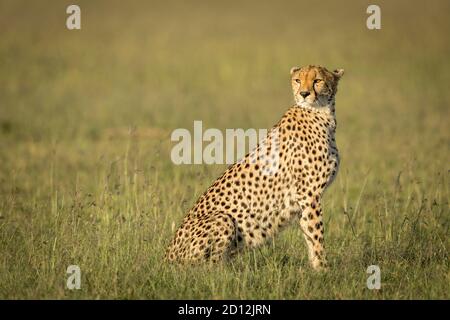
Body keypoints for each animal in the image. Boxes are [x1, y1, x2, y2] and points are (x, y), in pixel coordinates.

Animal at [165, 65, 344, 270]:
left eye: (318, 81)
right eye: (298, 80)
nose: (304, 94)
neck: (322, 113)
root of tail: (167, 256)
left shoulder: (305, 198)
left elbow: (309, 233)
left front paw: (316, 268)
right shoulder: (309, 194)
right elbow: (316, 235)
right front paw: (324, 270)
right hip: (223, 220)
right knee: (209, 268)